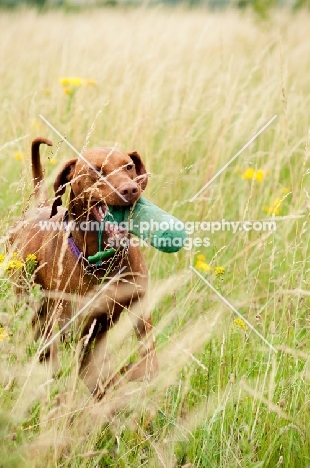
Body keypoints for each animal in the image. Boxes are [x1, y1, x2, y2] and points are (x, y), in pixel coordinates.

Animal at [8, 136, 157, 398]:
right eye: (96, 170)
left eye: (128, 166)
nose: (129, 190)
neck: (104, 261)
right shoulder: (74, 329)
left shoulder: (139, 309)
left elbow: (148, 365)